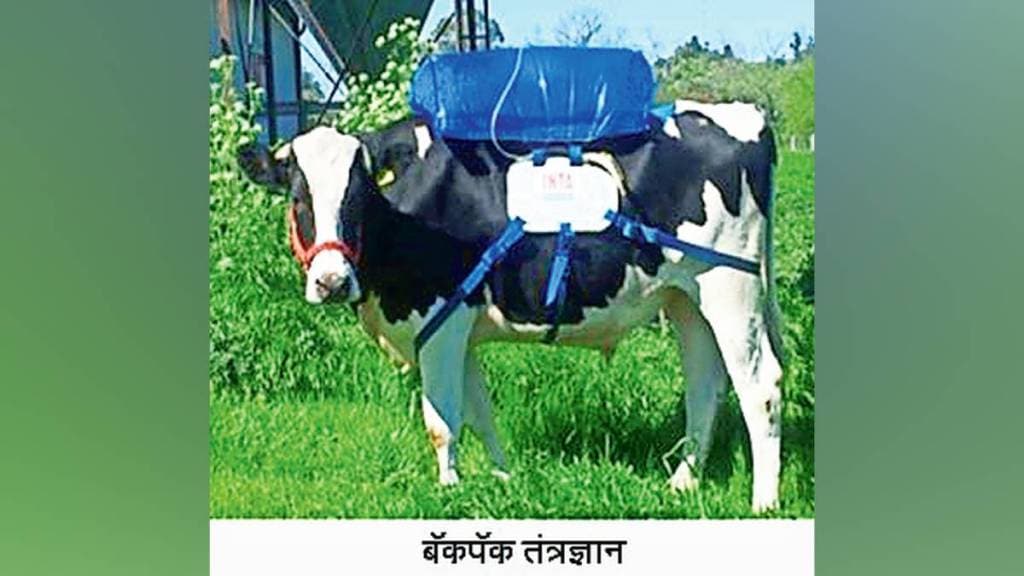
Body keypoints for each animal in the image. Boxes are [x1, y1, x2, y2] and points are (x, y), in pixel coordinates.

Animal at [238, 100, 785, 512]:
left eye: (359, 197)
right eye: (298, 199)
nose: (331, 282)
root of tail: (742, 113)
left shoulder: (439, 322)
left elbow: (442, 422)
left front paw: (449, 491)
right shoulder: (457, 327)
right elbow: (479, 413)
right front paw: (502, 480)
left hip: (730, 284)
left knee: (761, 387)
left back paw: (764, 502)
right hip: (686, 298)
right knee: (705, 386)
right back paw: (682, 483)